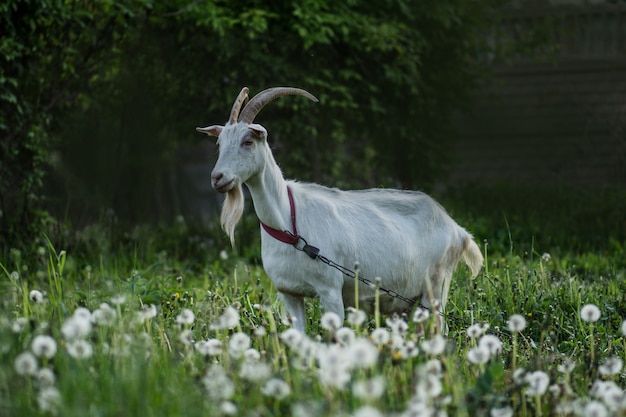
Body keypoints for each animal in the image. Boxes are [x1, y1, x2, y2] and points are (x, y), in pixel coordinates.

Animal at [197, 86, 480, 330]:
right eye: (219, 144)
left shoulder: (330, 290)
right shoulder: (289, 293)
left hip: (436, 285)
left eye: (248, 141)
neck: (289, 223)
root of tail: (457, 230)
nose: (217, 178)